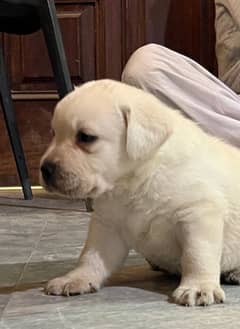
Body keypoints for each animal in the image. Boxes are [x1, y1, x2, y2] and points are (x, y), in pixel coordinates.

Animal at [39, 79, 240, 304]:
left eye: (86, 137)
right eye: (54, 133)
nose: (45, 169)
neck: (136, 180)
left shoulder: (199, 213)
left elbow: (197, 254)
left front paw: (198, 287)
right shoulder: (107, 224)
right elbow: (90, 255)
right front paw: (76, 278)